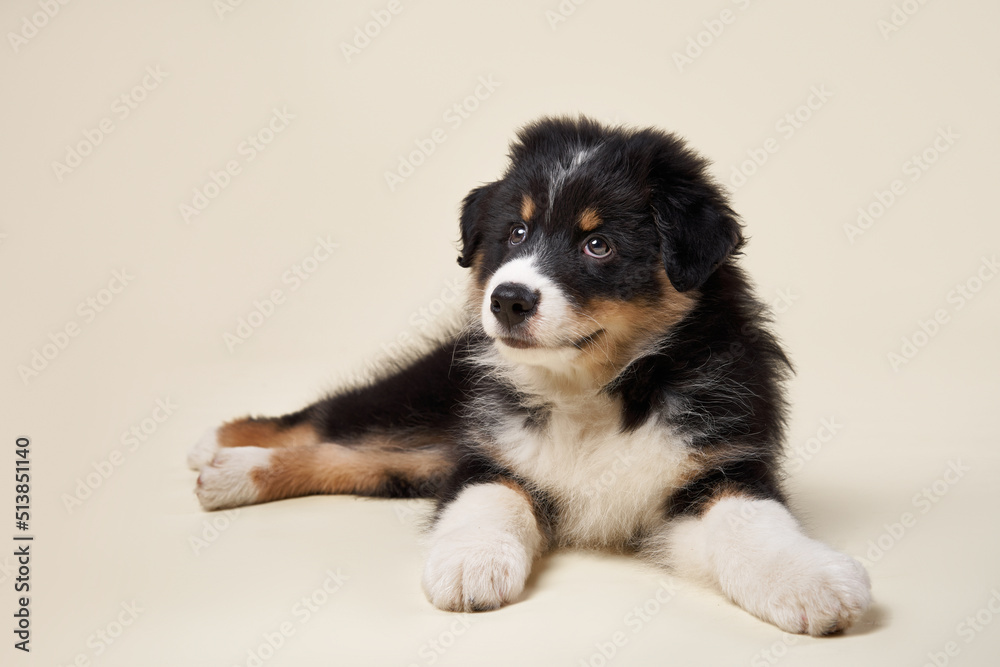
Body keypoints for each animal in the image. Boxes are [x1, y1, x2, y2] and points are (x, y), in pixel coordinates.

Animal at [191, 116, 872, 636]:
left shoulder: (716, 465)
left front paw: (813, 583)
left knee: (353, 460)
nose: (508, 299)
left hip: (420, 451)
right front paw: (470, 565)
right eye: (515, 232)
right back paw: (222, 449)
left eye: (598, 245)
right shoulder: (489, 451)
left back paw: (228, 475)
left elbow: (753, 523)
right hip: (423, 397)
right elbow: (493, 498)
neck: (594, 391)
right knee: (322, 420)